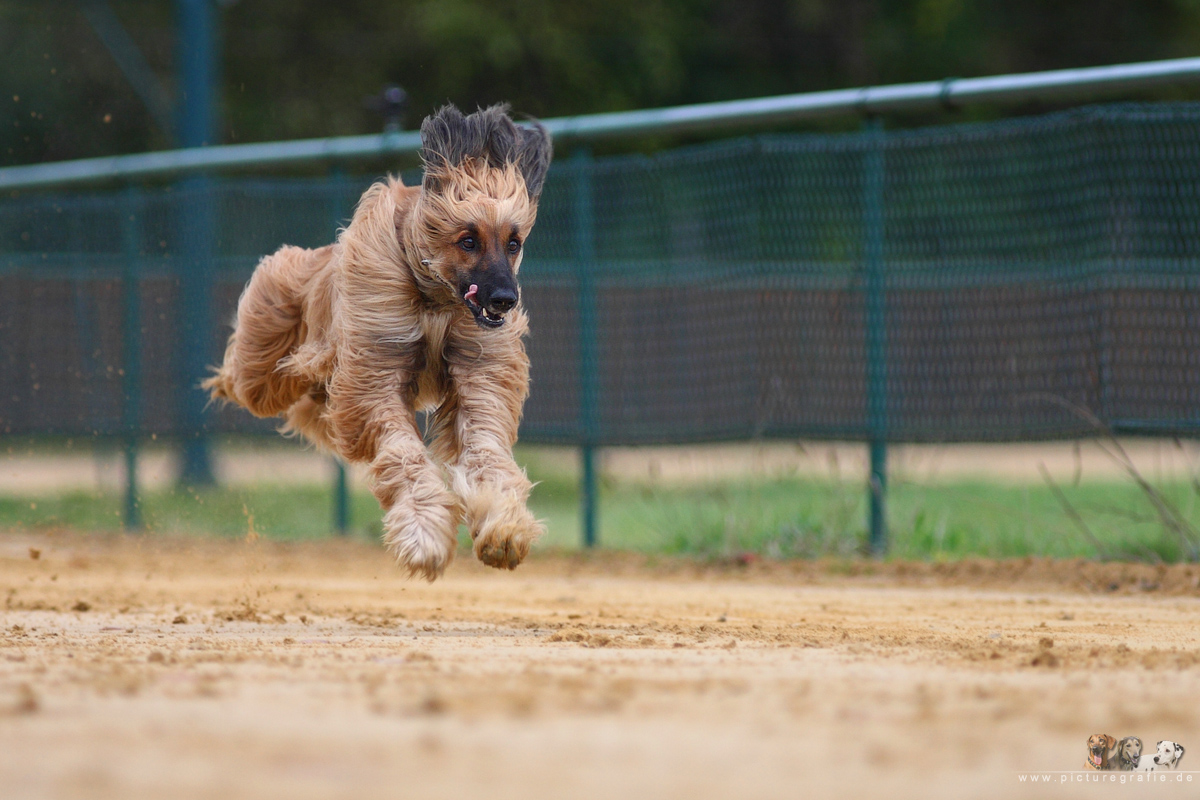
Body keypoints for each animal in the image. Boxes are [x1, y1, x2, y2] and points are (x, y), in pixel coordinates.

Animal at [210, 104, 552, 582]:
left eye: (513, 242)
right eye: (468, 240)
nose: (505, 299)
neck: (434, 298)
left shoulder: (479, 369)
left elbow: (486, 448)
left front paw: (503, 529)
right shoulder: (375, 370)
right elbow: (403, 454)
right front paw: (425, 535)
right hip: (271, 341)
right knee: (252, 377)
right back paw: (224, 380)